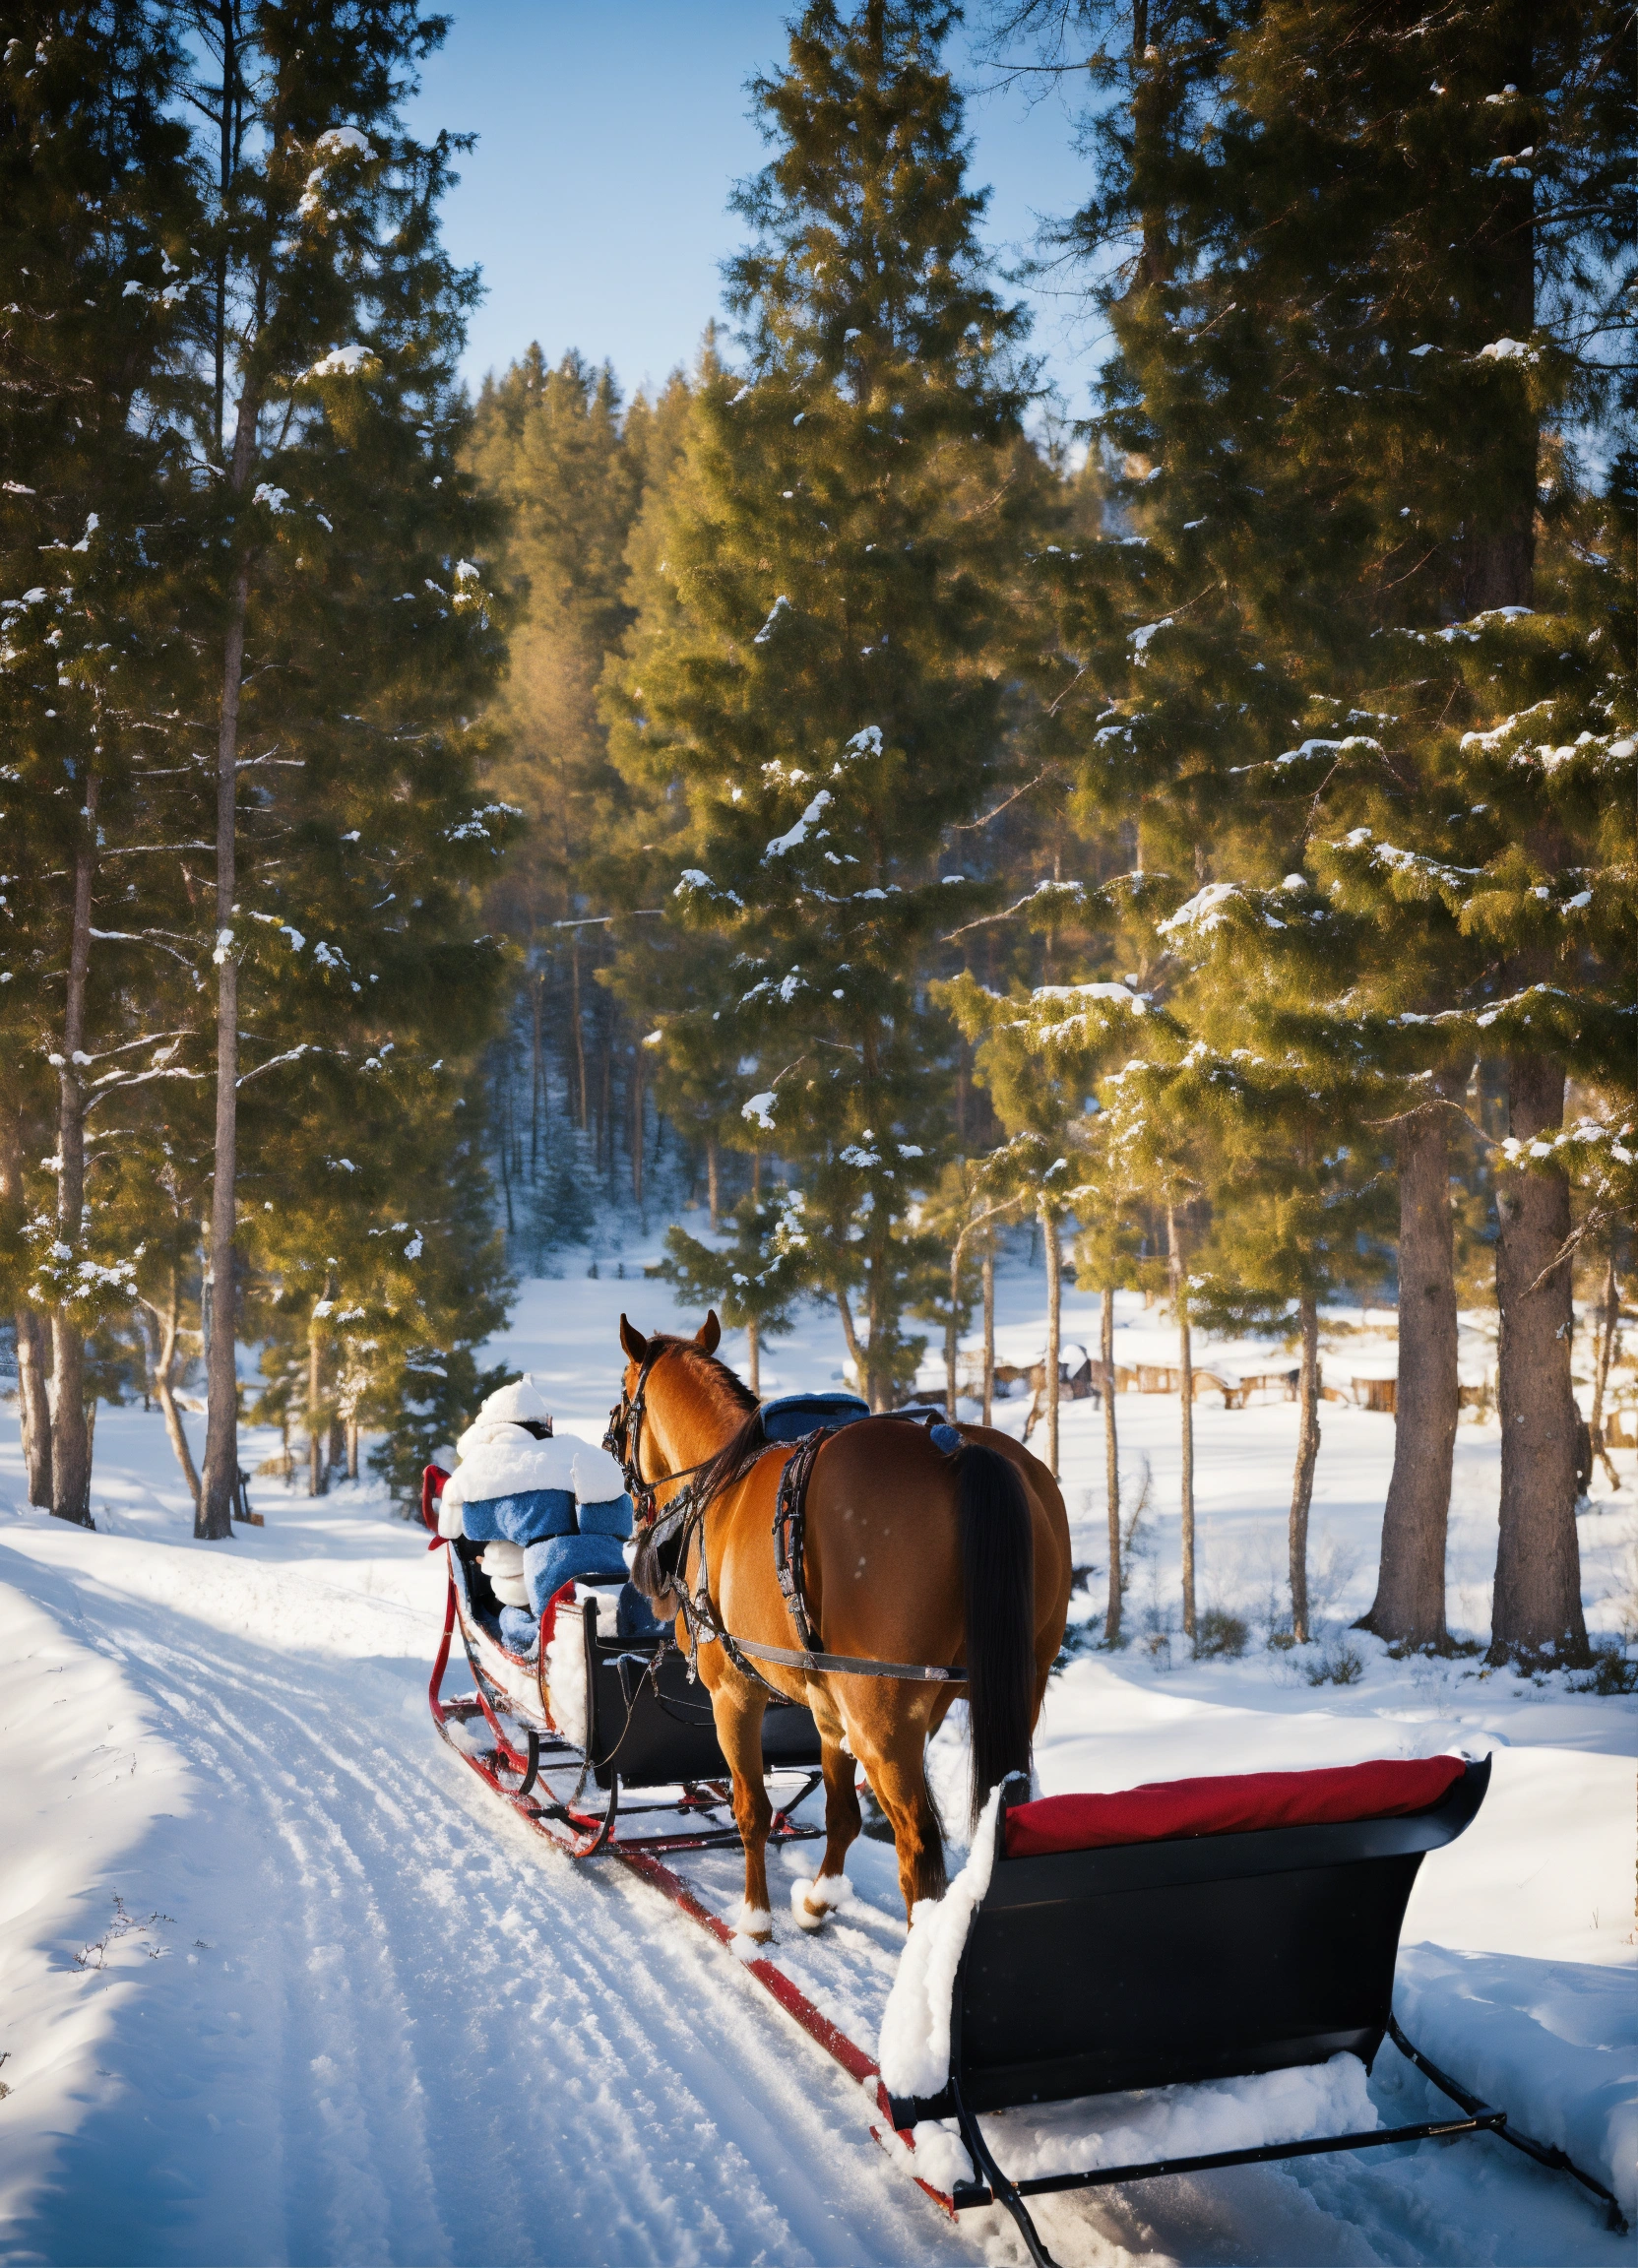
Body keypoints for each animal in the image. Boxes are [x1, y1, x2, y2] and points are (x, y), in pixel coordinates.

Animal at [609, 1311, 1071, 1937]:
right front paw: (817, 1899)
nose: (612, 1442)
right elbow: (842, 1813)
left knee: (917, 1849)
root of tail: (958, 1450)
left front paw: (754, 1923)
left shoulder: (733, 1691)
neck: (720, 1481)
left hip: (882, 1715)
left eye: (623, 1391)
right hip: (1006, 1688)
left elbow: (751, 1809)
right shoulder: (829, 1707)